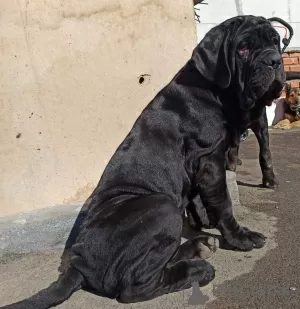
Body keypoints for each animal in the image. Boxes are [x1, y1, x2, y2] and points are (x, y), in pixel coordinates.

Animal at [0, 15, 284, 308]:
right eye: (243, 49)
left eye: (275, 41)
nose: (274, 60)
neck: (215, 91)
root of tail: (78, 263)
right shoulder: (209, 159)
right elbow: (223, 203)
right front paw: (240, 237)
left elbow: (200, 198)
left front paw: (204, 220)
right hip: (162, 206)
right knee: (134, 287)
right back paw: (196, 269)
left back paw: (199, 246)